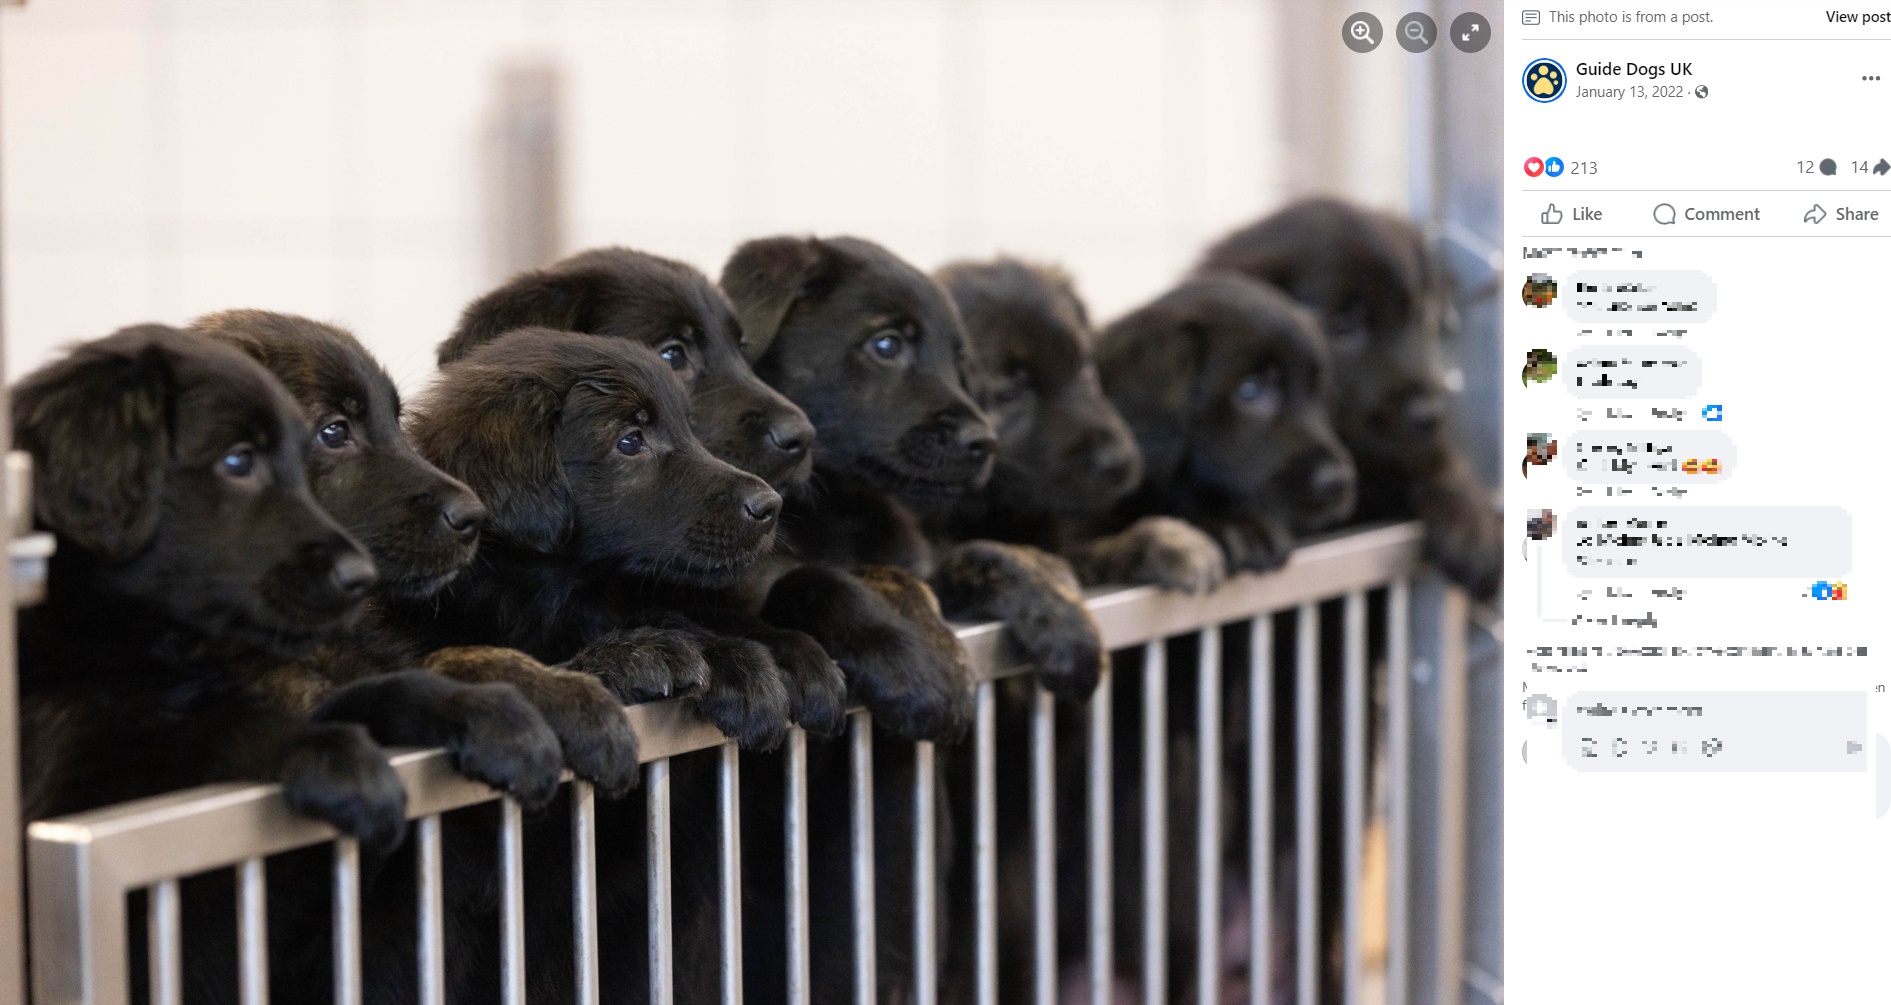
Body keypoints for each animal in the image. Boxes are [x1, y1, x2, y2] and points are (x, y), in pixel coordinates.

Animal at [1202, 200, 1497, 601]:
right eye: (1342, 325)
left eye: (1417, 315)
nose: (1430, 416)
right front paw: (1231, 524)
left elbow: (1431, 463)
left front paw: (1472, 518)